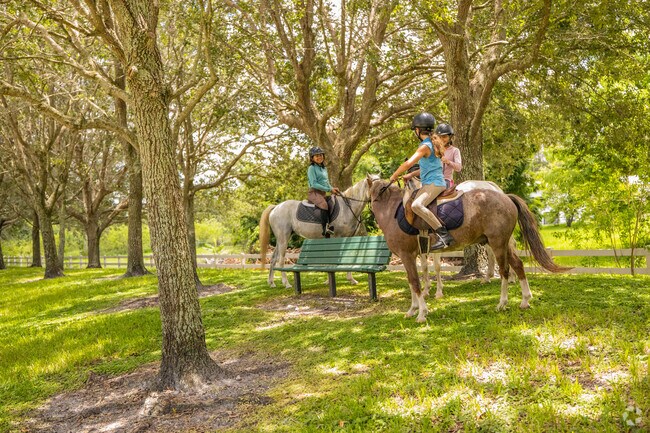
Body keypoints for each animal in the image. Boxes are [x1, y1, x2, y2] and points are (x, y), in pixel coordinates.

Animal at [367, 175, 568, 322]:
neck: (391, 211)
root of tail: (505, 196)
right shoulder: (413, 255)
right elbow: (413, 280)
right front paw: (414, 309)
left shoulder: (407, 254)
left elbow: (415, 282)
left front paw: (422, 312)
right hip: (500, 243)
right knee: (518, 265)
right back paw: (525, 300)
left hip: (498, 243)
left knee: (504, 271)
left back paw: (502, 303)